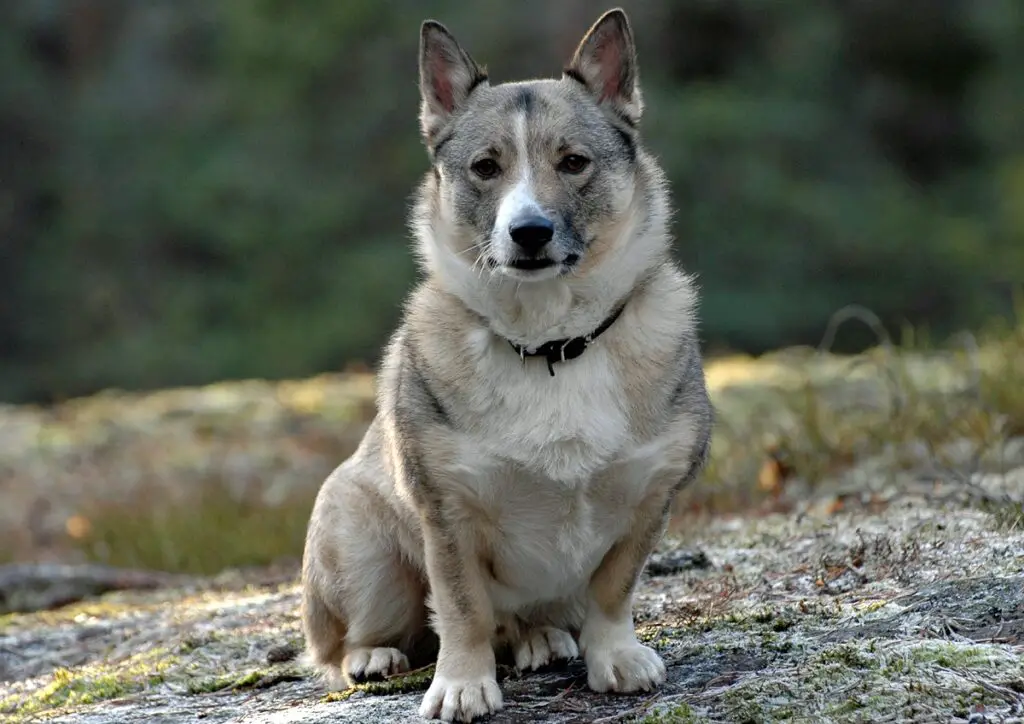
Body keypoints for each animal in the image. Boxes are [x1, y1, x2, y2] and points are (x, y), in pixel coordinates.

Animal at [299, 7, 712, 724]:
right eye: (486, 168)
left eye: (573, 163)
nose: (530, 232)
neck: (552, 344)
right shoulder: (447, 512)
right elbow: (462, 609)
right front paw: (463, 685)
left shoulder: (650, 495)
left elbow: (613, 589)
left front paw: (615, 656)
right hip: (360, 549)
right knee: (347, 642)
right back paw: (375, 655)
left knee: (525, 621)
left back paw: (541, 638)